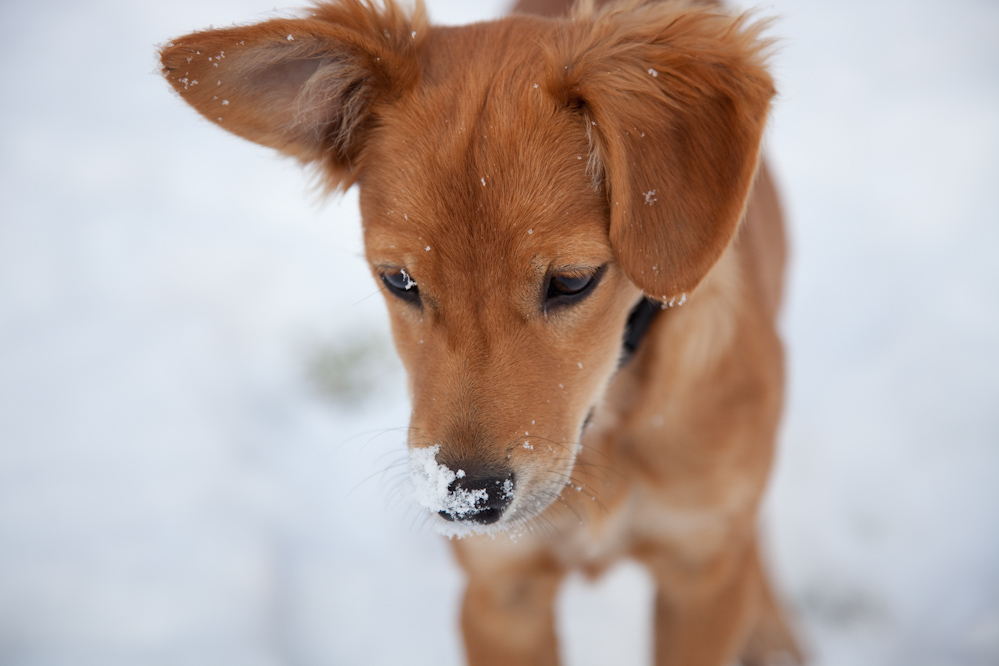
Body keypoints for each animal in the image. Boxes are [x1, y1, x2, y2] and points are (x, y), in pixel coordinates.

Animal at [162, 2, 804, 660]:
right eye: (399, 280)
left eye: (573, 281)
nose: (467, 500)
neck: (605, 434)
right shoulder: (501, 593)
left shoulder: (699, 577)